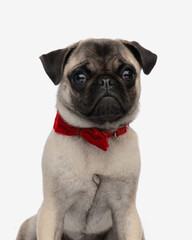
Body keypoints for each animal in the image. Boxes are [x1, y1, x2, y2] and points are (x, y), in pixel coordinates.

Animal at [16, 39, 157, 240]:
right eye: (80, 77)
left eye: (127, 74)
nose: (106, 81)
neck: (96, 133)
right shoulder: (51, 211)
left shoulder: (127, 213)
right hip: (30, 224)